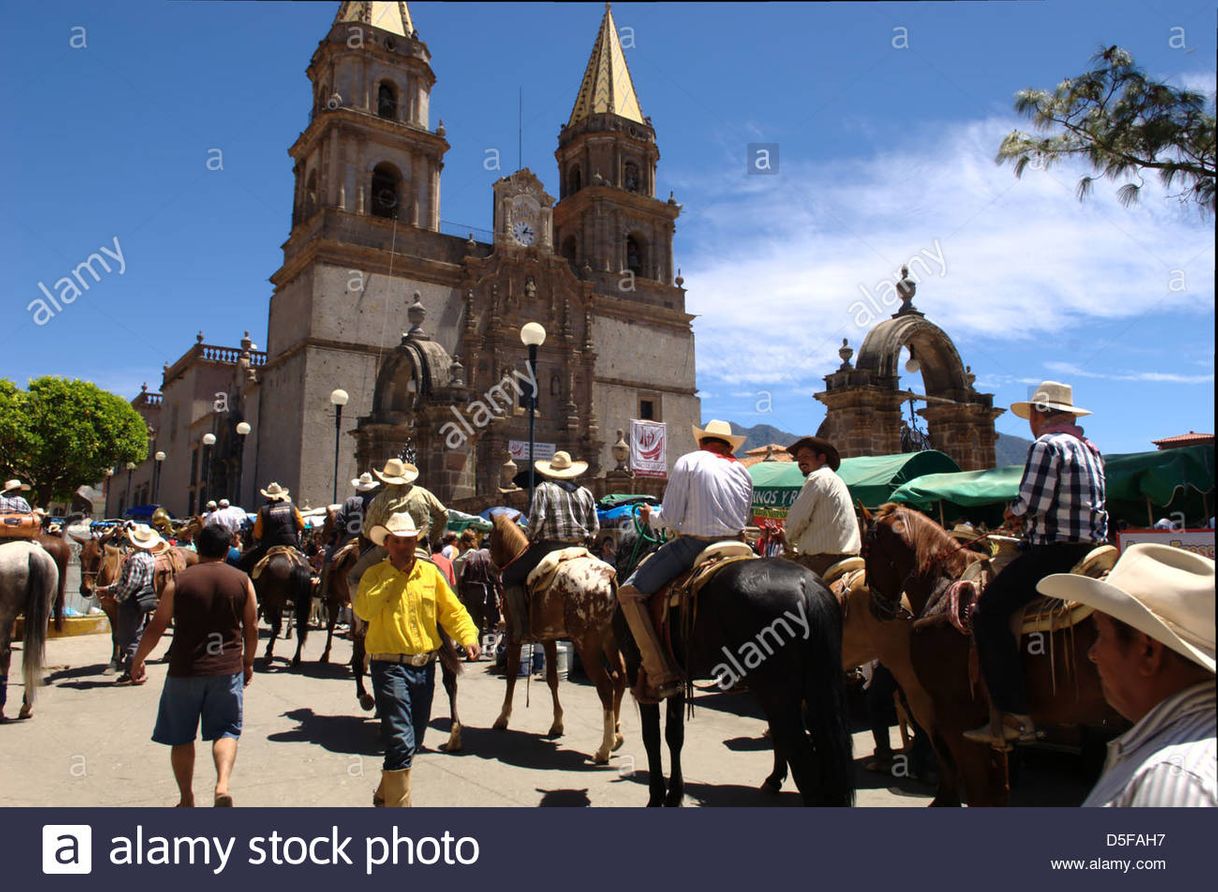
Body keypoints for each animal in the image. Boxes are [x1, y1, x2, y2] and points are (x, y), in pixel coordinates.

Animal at [484, 516, 623, 765]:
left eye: (490, 539)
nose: (490, 568)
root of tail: (608, 577)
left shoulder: (513, 636)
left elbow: (511, 676)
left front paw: (503, 717)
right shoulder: (547, 637)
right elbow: (552, 679)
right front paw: (557, 724)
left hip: (586, 643)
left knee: (606, 686)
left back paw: (604, 748)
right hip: (610, 639)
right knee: (620, 677)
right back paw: (616, 735)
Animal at [613, 521, 852, 809]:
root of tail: (807, 586)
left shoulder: (640, 674)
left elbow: (651, 737)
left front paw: (657, 796)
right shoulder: (675, 677)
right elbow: (674, 735)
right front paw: (674, 795)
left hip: (778, 692)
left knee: (802, 755)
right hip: (812, 687)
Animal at [862, 504, 1115, 804]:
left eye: (865, 551)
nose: (877, 609)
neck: (942, 590)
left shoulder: (956, 715)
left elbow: (977, 790)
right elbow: (994, 790)